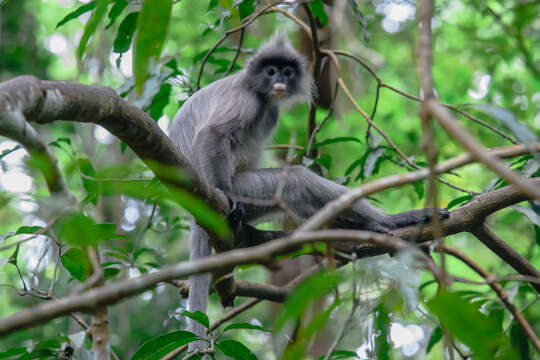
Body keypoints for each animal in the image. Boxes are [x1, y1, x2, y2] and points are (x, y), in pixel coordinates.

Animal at [169, 34, 448, 348]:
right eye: (270, 71)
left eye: (286, 72)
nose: (279, 79)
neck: (260, 93)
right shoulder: (246, 100)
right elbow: (213, 133)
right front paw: (226, 194)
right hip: (249, 191)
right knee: (297, 180)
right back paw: (389, 221)